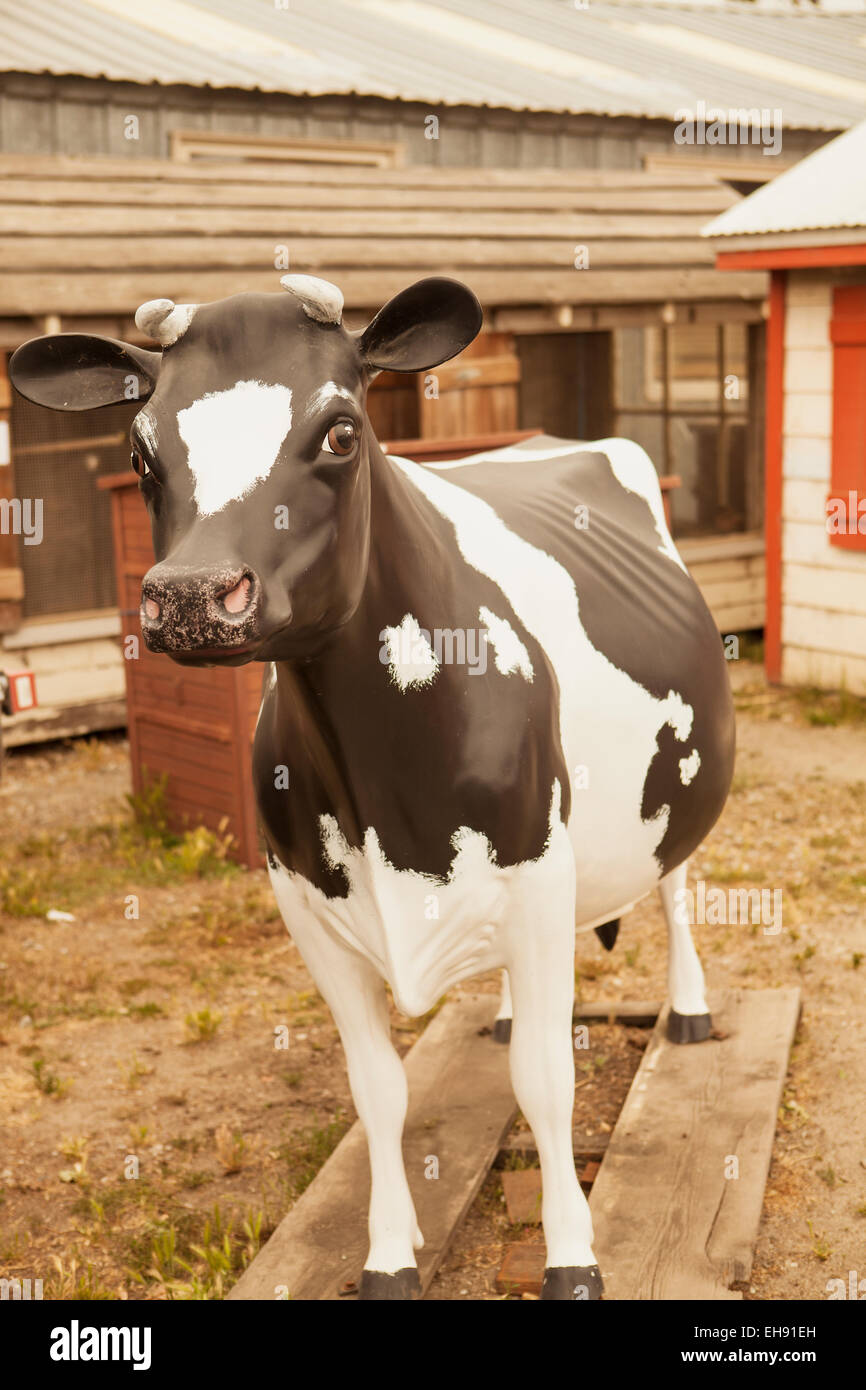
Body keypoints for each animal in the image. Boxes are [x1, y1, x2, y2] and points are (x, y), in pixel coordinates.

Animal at [10, 279, 733, 1301]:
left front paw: (573, 1255)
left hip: (667, 803)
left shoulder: (540, 876)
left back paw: (690, 1011)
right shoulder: (305, 902)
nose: (189, 594)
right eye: (140, 450)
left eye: (341, 431)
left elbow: (548, 1083)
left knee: (673, 889)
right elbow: (378, 1088)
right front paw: (389, 1252)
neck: (387, 789)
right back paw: (500, 1018)